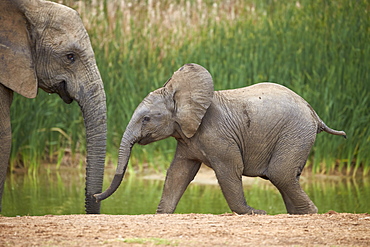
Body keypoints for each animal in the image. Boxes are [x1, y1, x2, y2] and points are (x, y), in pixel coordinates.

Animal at [94, 63, 346, 214]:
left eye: (146, 119)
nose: (96, 196)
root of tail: (314, 113)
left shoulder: (218, 136)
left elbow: (229, 170)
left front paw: (254, 213)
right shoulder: (187, 138)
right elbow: (178, 173)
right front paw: (162, 214)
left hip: (295, 132)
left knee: (280, 173)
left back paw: (310, 214)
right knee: (287, 176)